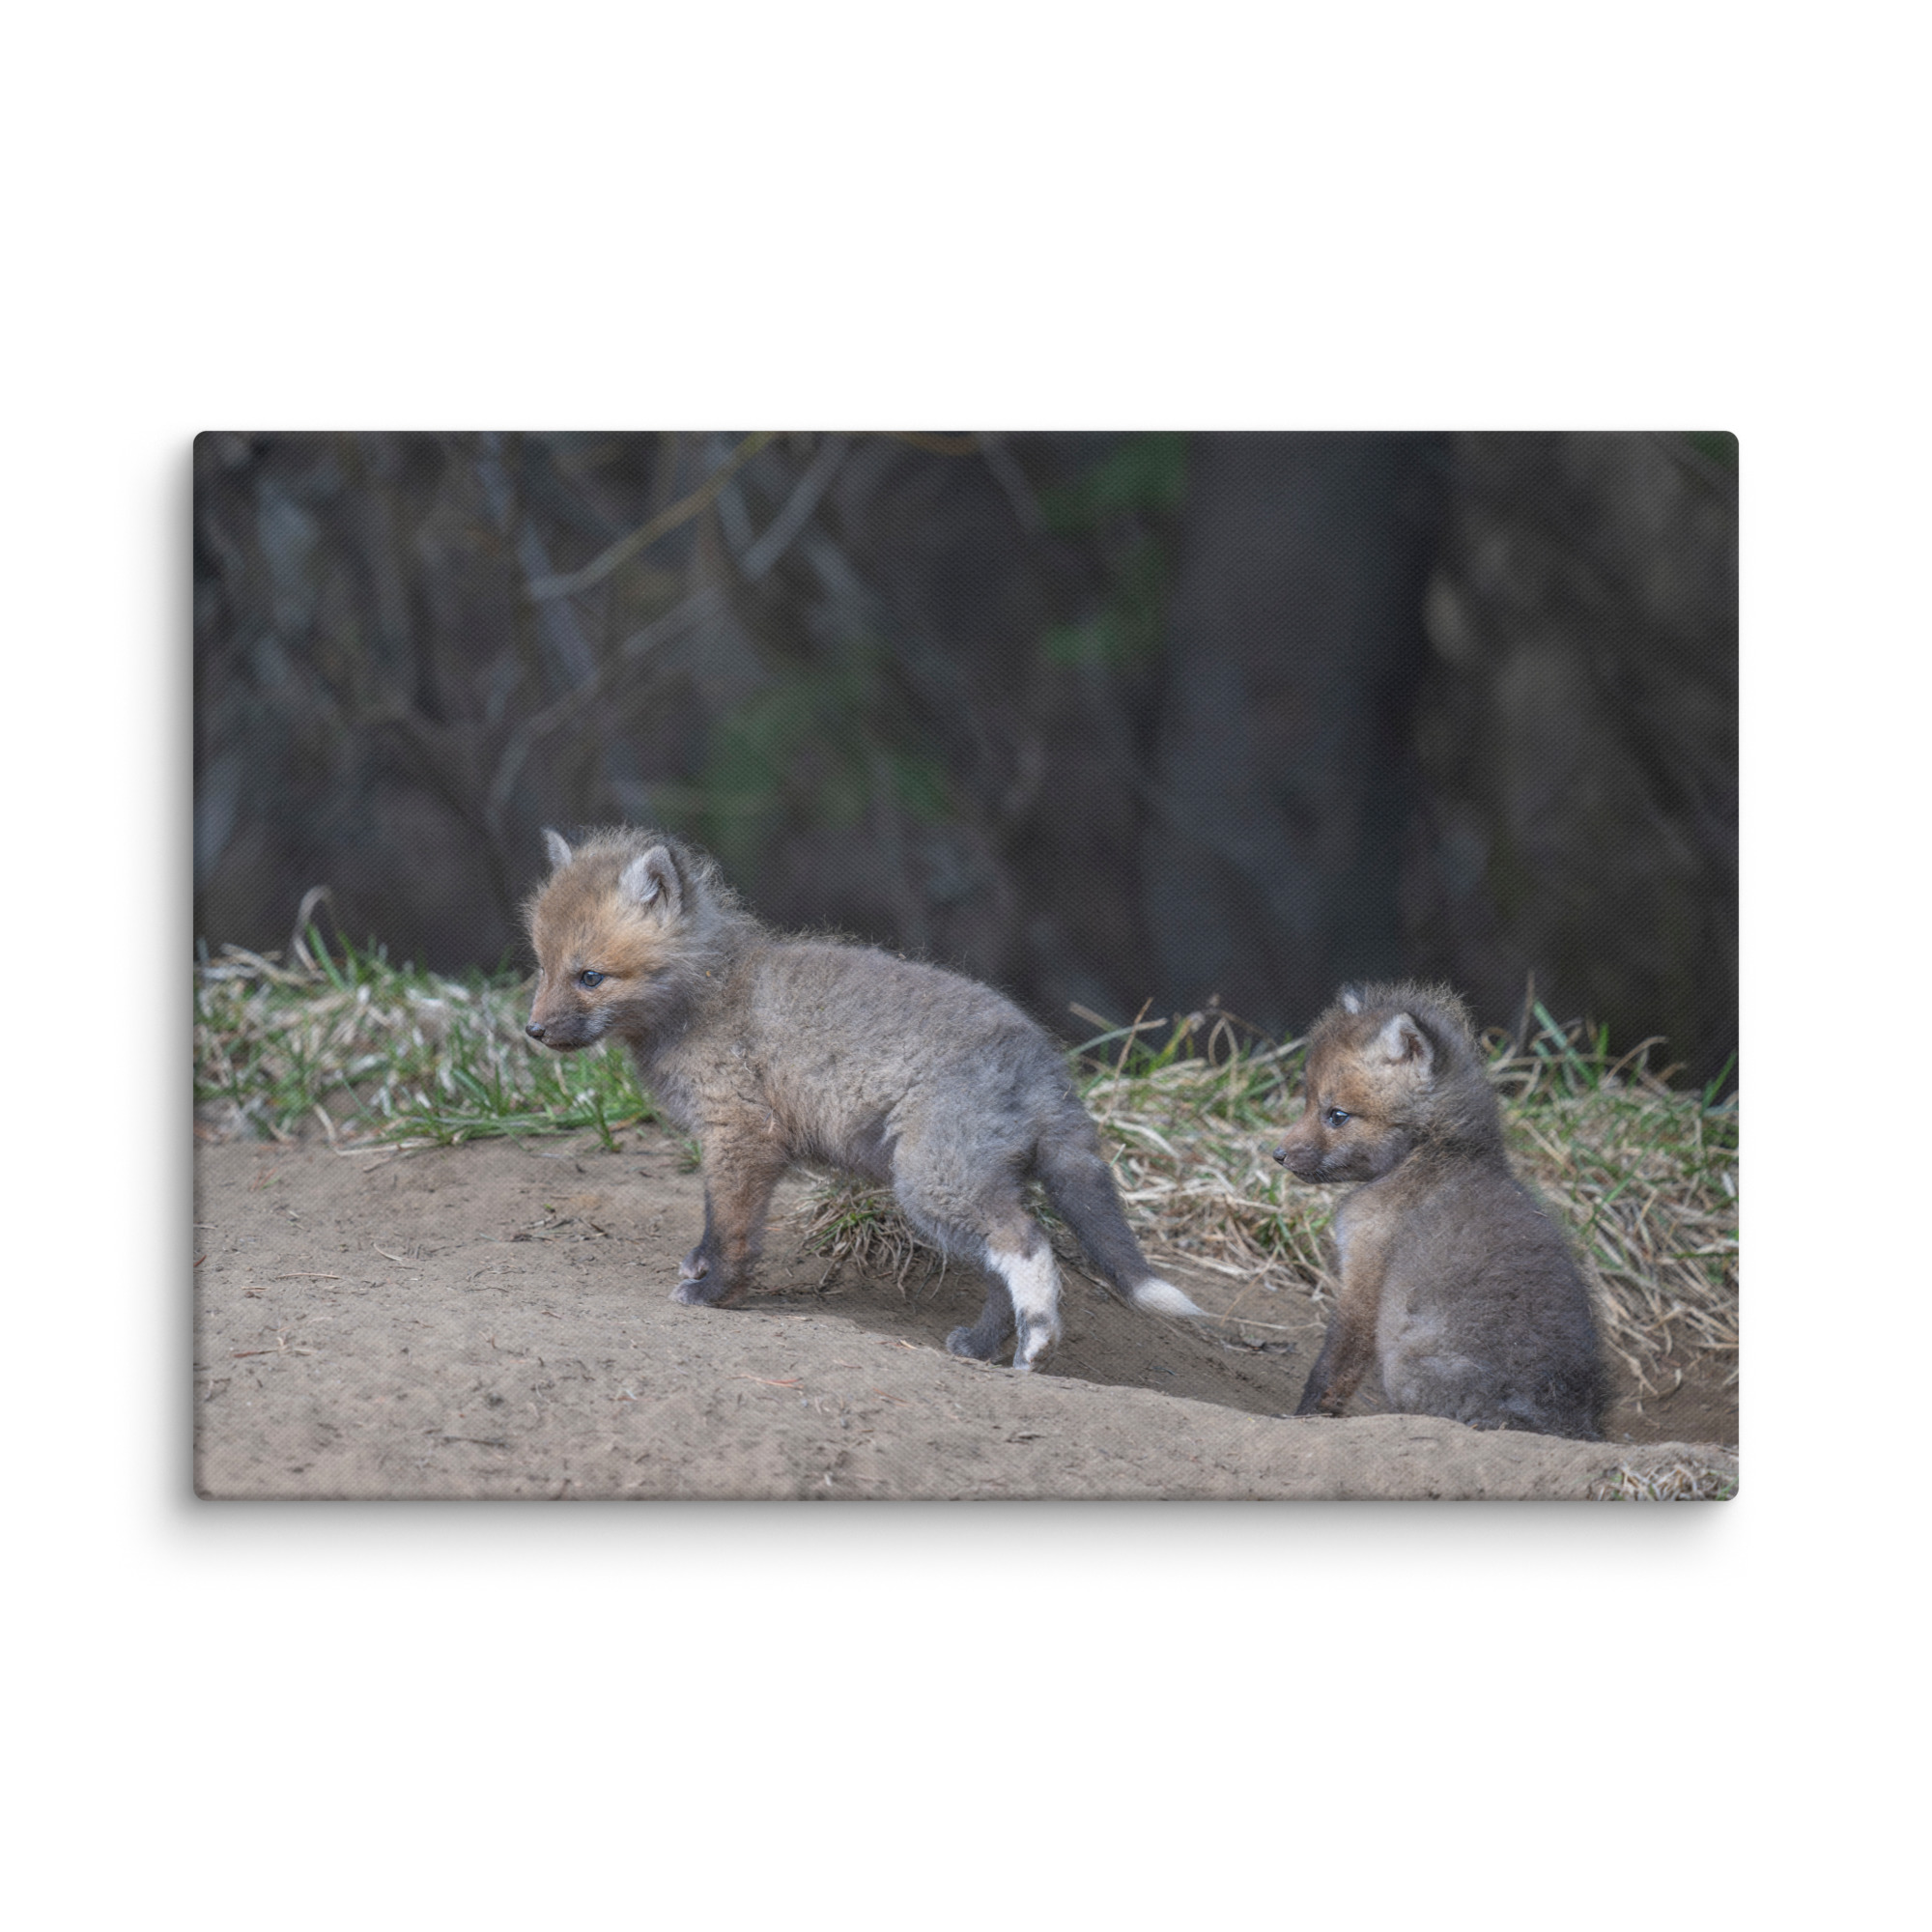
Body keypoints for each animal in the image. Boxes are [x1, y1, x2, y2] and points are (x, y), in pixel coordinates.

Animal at [523, 826, 1206, 1371]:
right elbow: (716, 1220)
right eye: (542, 967)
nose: (532, 1031)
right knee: (999, 1270)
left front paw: (715, 1292)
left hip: (933, 1183)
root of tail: (1045, 1063)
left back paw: (1037, 1345)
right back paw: (983, 1347)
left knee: (1029, 1244)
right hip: (961, 1190)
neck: (706, 994)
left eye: (590, 977)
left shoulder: (741, 1134)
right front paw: (701, 1268)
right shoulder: (736, 1143)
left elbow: (732, 1229)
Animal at [1273, 981, 1604, 1439]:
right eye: (1307, 1102)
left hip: (1403, 1366)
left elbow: (1333, 1367)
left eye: (1336, 1115)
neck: (1432, 1153)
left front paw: (1303, 1418)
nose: (1278, 1155)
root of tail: (1566, 1423)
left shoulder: (1364, 1274)